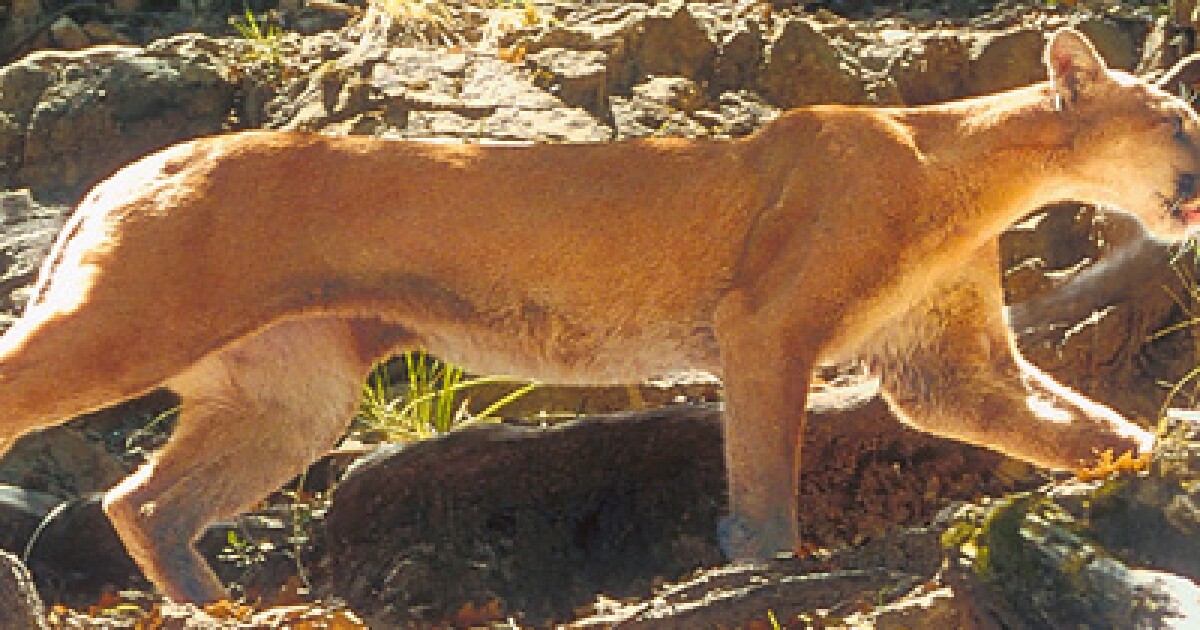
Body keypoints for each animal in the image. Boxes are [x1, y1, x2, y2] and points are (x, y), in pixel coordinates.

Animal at [0, 28, 1196, 603]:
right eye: (1177, 119)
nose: (1197, 179)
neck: (979, 168)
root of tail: (133, 166)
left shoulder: (947, 368)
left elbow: (1079, 428)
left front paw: (1155, 468)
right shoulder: (767, 327)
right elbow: (764, 461)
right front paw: (763, 563)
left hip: (290, 398)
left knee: (145, 502)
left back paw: (214, 606)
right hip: (133, 320)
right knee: (51, 415)